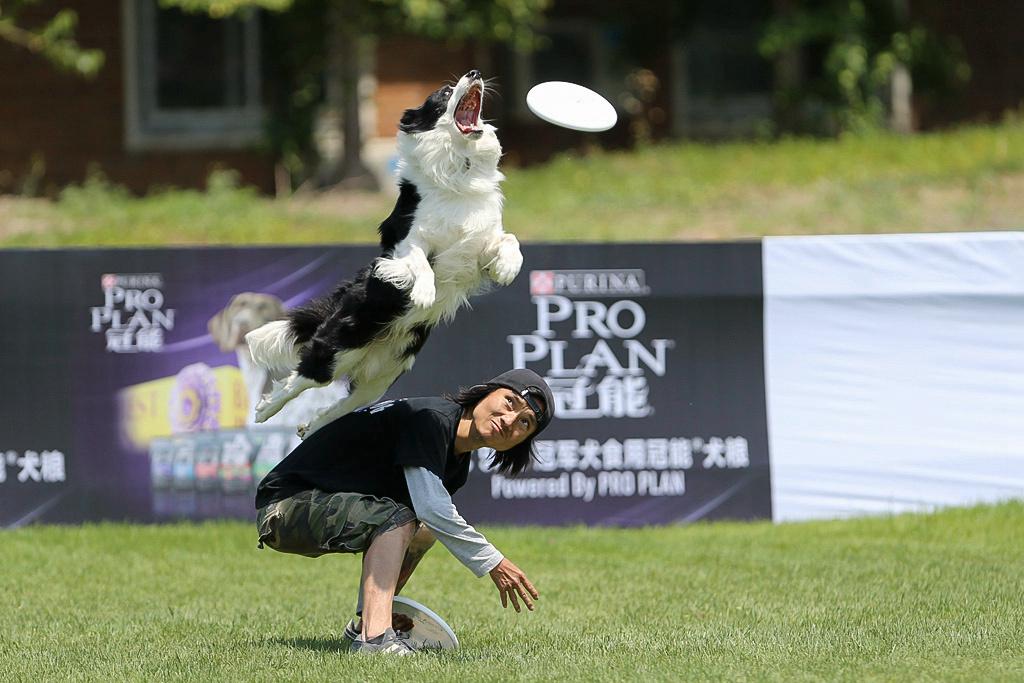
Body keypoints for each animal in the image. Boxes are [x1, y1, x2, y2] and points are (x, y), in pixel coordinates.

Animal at [245, 70, 520, 438]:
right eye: (445, 92)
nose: (474, 74)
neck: (458, 168)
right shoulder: (404, 244)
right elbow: (421, 263)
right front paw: (424, 293)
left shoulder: (480, 244)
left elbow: (510, 240)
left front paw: (508, 270)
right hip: (339, 345)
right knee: (302, 378)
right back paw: (265, 411)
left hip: (382, 376)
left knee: (342, 403)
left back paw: (309, 426)